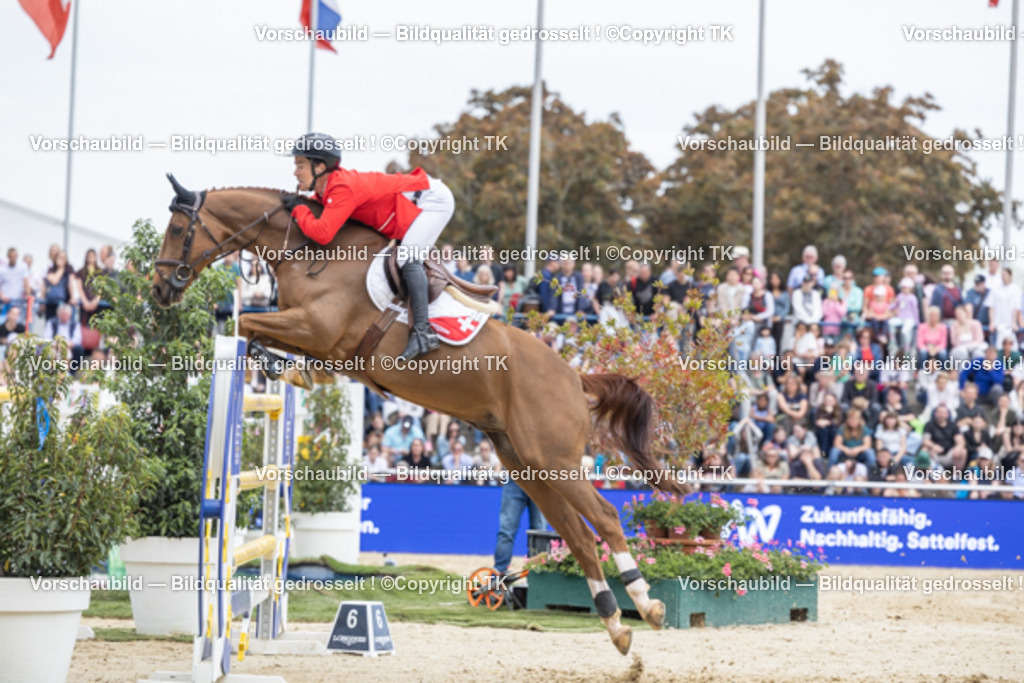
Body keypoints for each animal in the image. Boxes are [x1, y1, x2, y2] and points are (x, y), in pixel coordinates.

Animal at [151, 176, 683, 654]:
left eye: (178, 229)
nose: (159, 290)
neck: (310, 252)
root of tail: (574, 377)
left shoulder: (315, 327)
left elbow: (244, 322)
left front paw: (268, 360)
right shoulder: (313, 337)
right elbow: (255, 327)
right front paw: (282, 366)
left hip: (554, 461)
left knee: (606, 519)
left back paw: (648, 605)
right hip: (528, 466)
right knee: (577, 536)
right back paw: (615, 626)